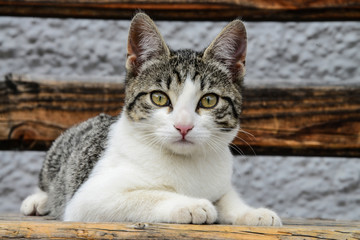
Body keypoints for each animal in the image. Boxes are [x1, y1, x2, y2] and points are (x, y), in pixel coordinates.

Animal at [21, 12, 282, 227]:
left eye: (209, 100)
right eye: (159, 98)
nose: (183, 126)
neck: (186, 162)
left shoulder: (220, 181)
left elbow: (228, 198)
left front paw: (251, 212)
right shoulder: (87, 198)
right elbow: (145, 195)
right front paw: (190, 204)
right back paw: (38, 201)